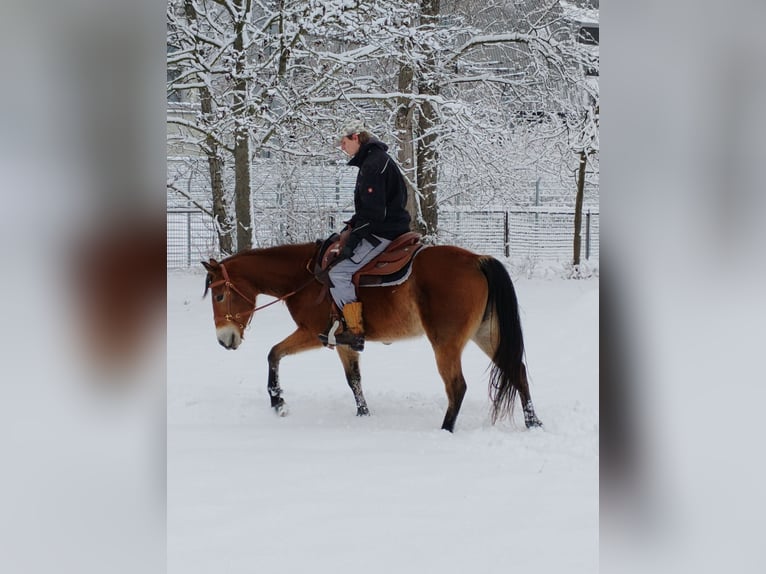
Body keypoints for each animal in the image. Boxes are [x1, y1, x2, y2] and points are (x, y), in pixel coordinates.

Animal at [201, 242, 542, 432]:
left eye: (219, 295)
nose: (223, 339)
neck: (306, 277)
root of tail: (477, 260)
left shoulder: (312, 332)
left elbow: (272, 353)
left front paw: (277, 401)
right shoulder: (342, 342)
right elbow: (353, 379)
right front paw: (363, 415)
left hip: (446, 343)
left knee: (457, 387)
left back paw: (446, 430)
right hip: (486, 334)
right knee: (517, 372)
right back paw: (533, 422)